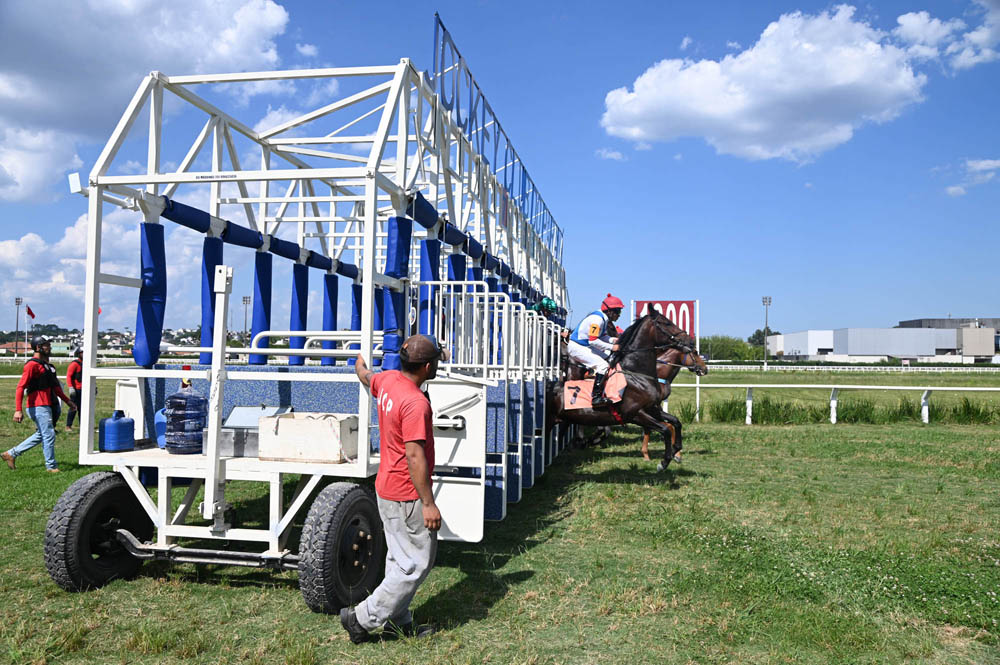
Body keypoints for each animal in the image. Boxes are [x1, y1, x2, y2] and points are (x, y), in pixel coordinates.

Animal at [546, 311, 695, 471]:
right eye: (666, 323)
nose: (690, 341)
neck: (636, 373)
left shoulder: (651, 408)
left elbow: (676, 422)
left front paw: (676, 451)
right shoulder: (635, 414)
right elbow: (665, 429)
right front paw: (664, 461)